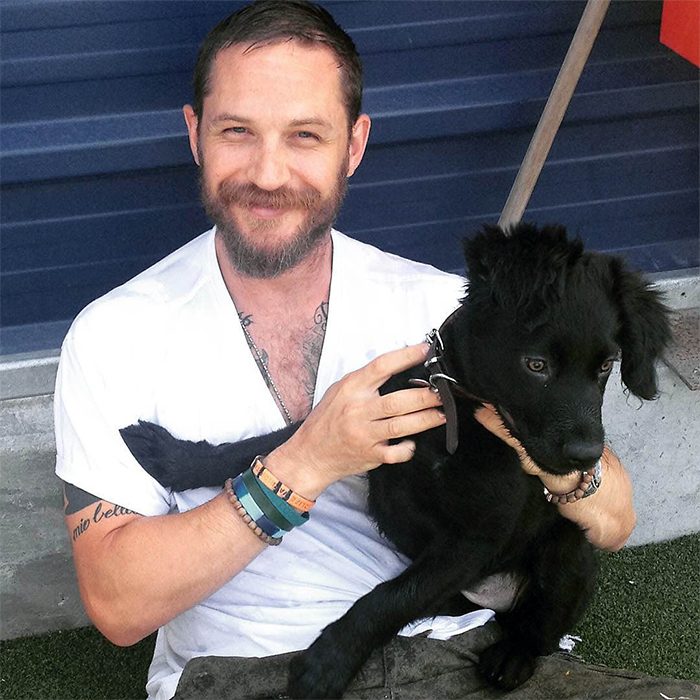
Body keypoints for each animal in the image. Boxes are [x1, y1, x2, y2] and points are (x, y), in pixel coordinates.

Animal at [121, 223, 672, 696]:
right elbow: (277, 440)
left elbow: (387, 598)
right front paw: (175, 458)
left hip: (568, 551)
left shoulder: (473, 541)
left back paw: (513, 657)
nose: (586, 457)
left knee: (540, 623)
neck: (454, 411)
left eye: (606, 366)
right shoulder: (371, 420)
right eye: (536, 364)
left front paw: (328, 662)